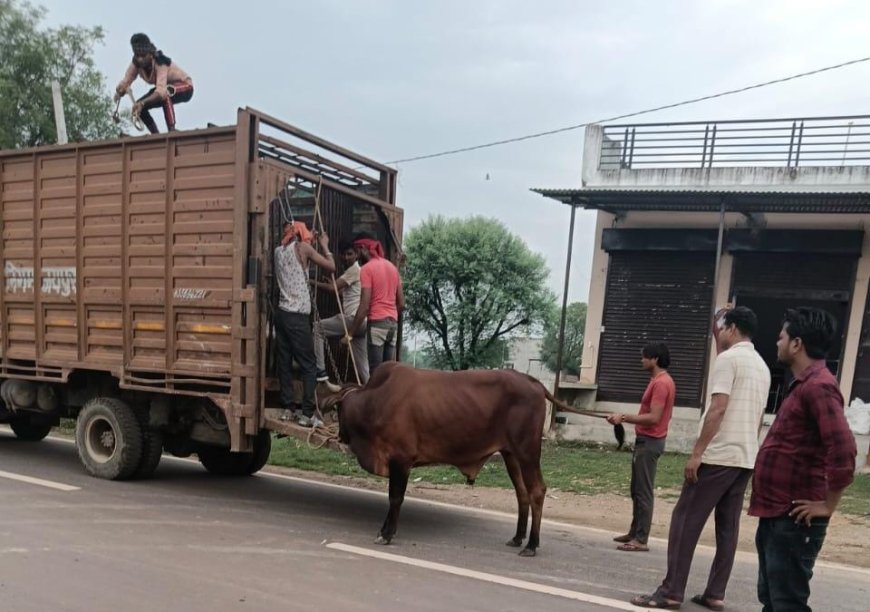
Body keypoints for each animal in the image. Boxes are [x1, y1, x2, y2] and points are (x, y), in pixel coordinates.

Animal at [324, 360, 624, 556]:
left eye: (339, 409)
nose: (339, 435)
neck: (375, 400)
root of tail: (533, 382)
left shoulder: (401, 460)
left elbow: (395, 498)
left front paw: (386, 534)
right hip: (511, 455)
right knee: (522, 494)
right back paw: (518, 538)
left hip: (527, 452)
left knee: (537, 491)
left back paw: (531, 544)